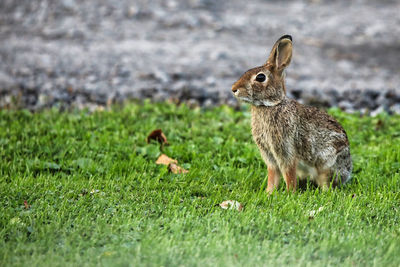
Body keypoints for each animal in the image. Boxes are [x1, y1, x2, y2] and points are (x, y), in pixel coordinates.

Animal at [233, 35, 352, 193]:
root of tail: (348, 172)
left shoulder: (285, 150)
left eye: (260, 78)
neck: (272, 105)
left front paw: (290, 193)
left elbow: (288, 172)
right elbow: (273, 174)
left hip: (328, 165)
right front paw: (269, 193)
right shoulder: (269, 155)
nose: (234, 89)